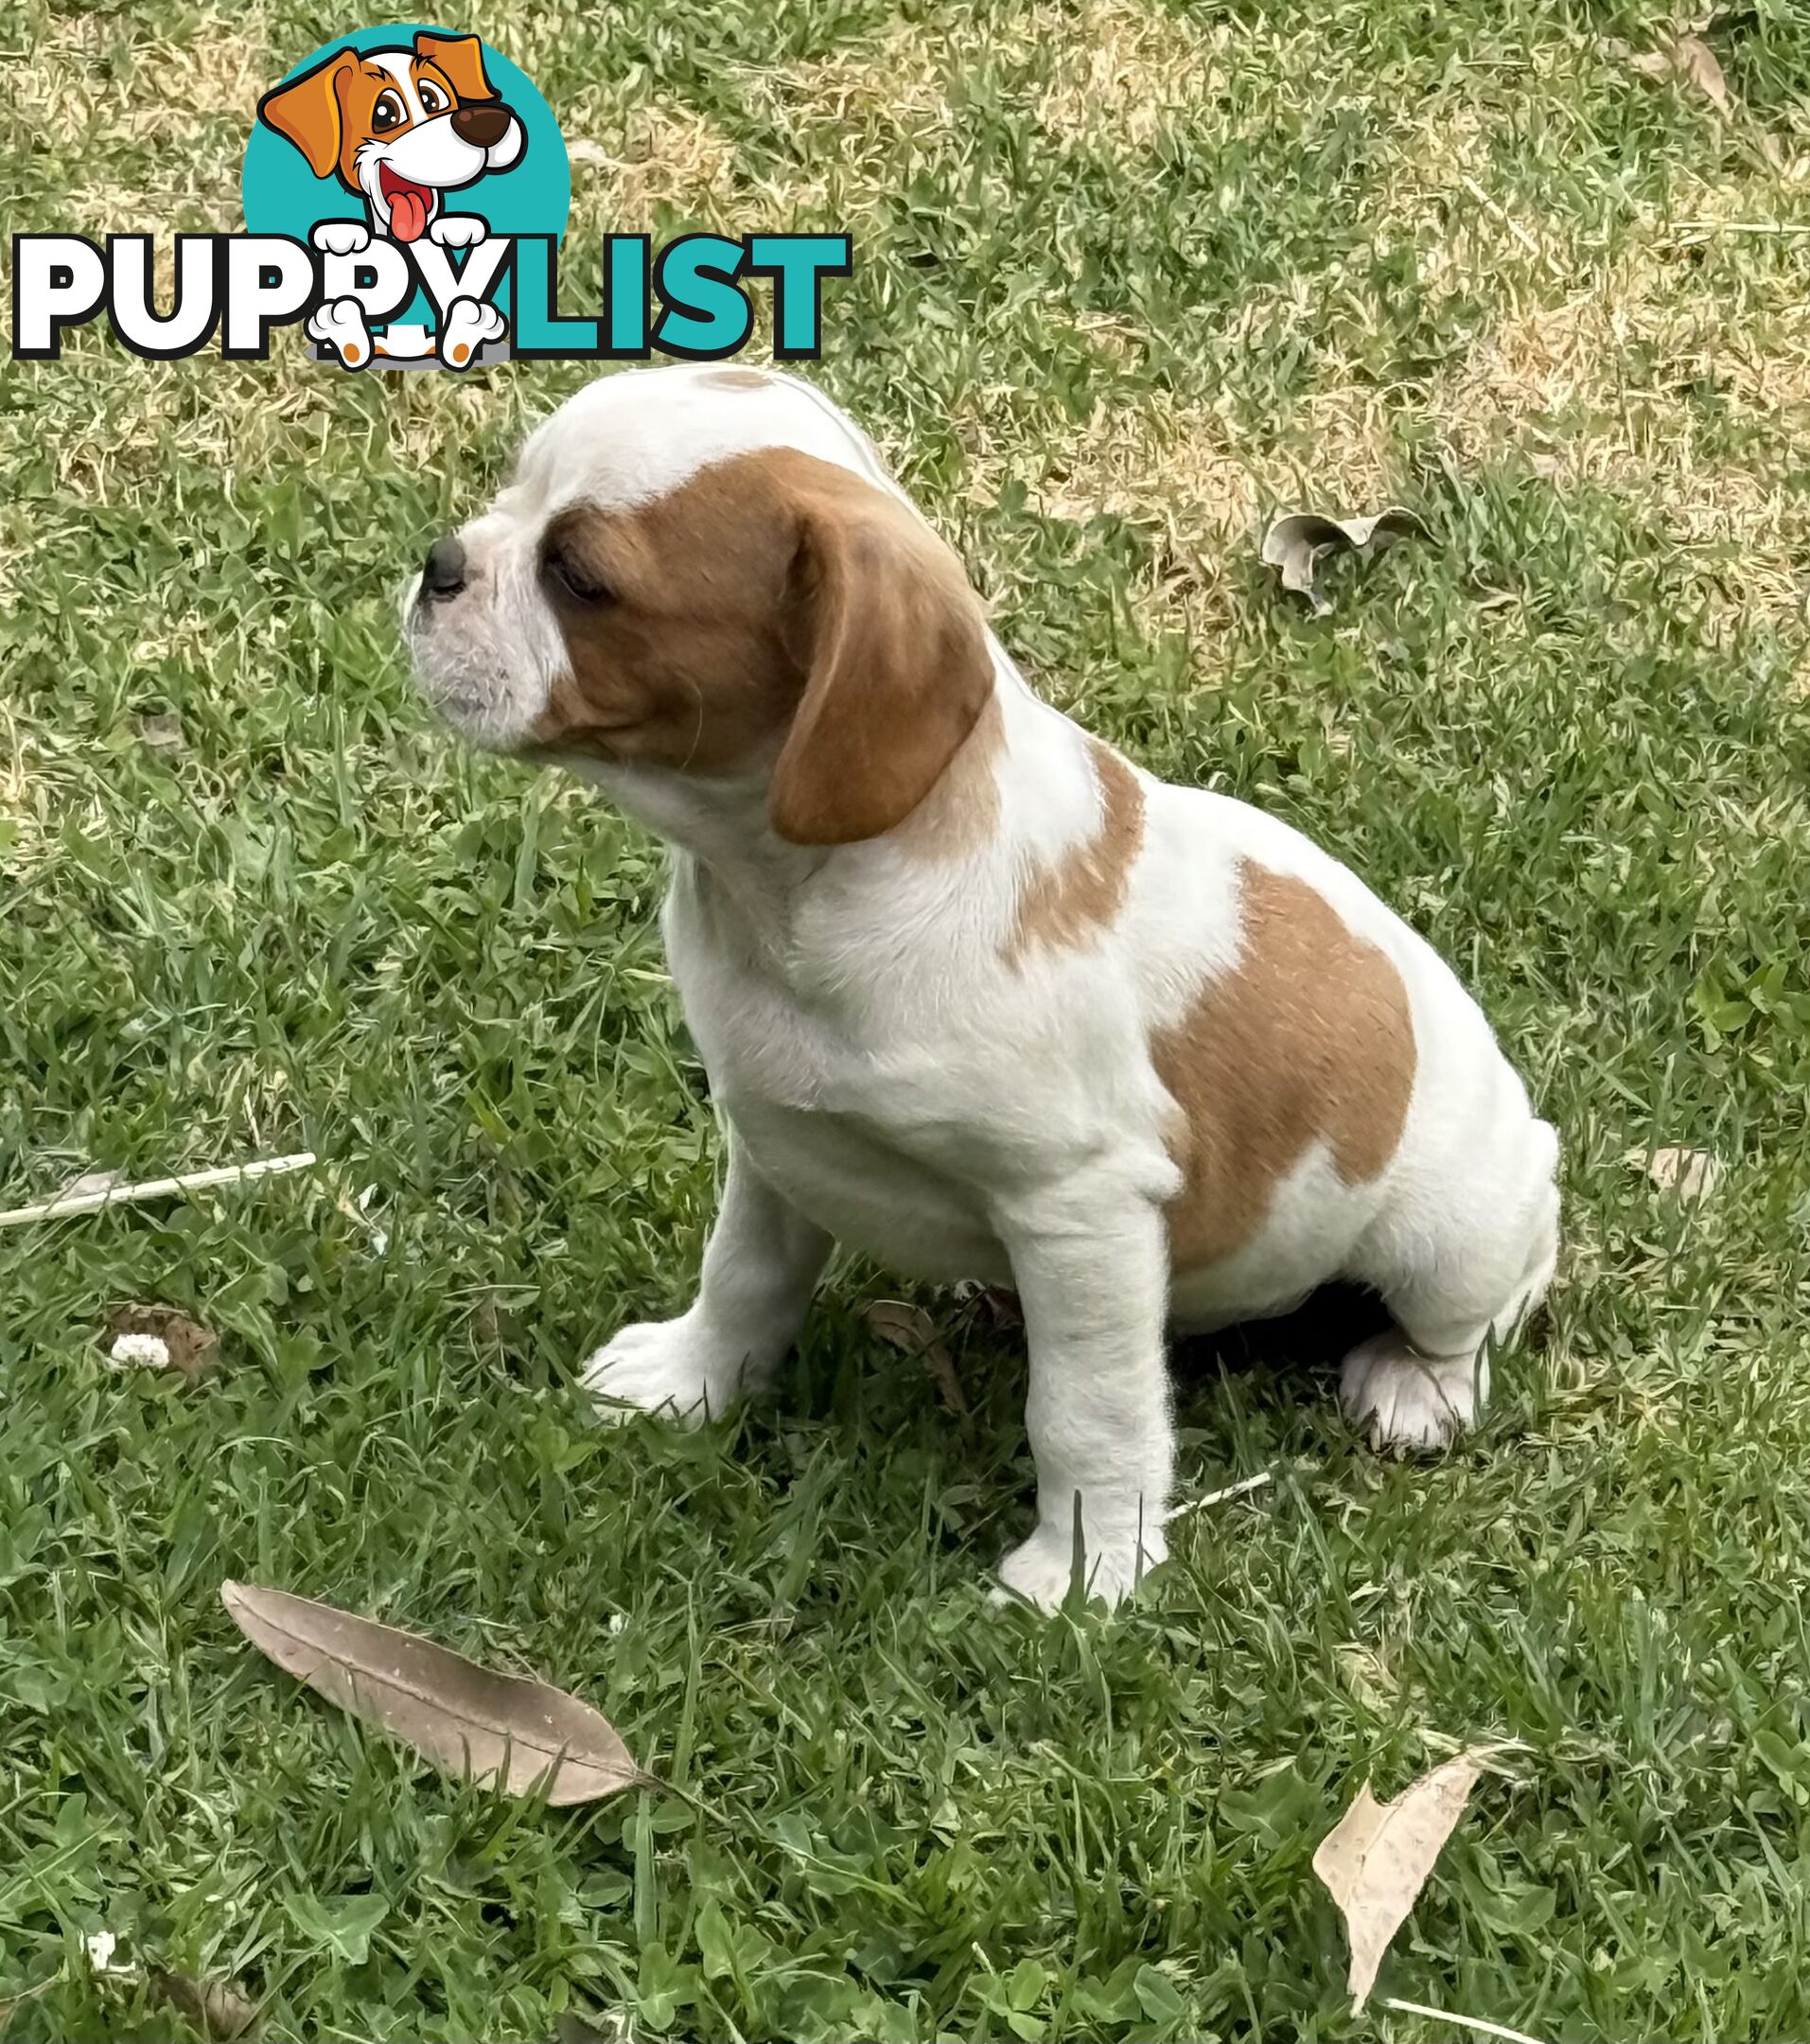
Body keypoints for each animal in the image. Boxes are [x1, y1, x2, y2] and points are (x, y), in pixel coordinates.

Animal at [406, 363, 1560, 1611]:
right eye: (510, 494)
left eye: (580, 578)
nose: (437, 563)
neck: (793, 892)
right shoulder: (773, 1140)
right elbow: (744, 1277)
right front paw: (690, 1381)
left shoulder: (1078, 1210)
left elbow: (1085, 1412)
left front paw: (1084, 1572)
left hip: (1443, 1228)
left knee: (1489, 1296)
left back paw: (1418, 1385)